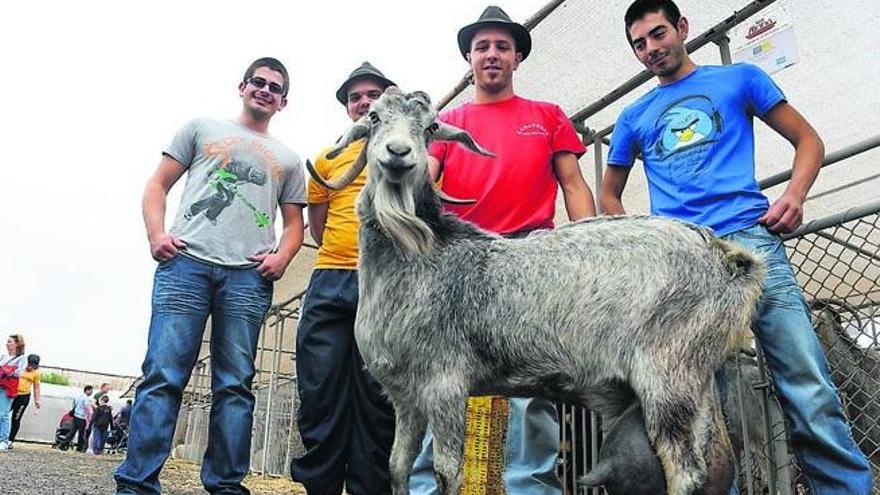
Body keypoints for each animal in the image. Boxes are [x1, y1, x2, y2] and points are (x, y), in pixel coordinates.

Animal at [306, 89, 768, 495]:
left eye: (431, 126)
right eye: (374, 117)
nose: (399, 154)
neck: (421, 253)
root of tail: (727, 259)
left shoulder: (445, 382)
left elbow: (447, 471)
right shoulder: (404, 396)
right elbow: (397, 467)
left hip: (669, 374)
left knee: (686, 470)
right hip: (696, 383)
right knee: (716, 466)